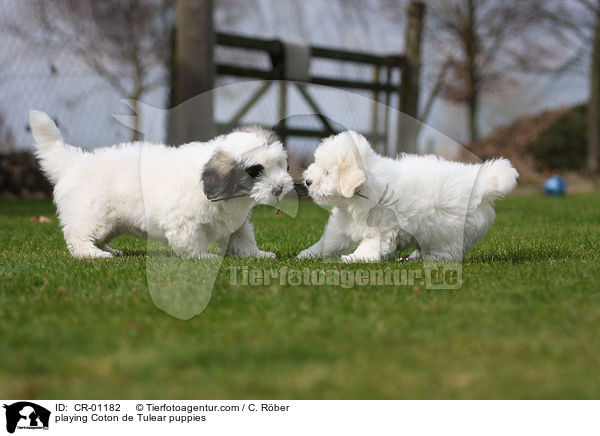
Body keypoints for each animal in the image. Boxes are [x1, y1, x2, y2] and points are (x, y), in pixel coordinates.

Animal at [30, 110, 292, 258]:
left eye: (283, 166)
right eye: (255, 172)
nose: (279, 189)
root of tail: (75, 162)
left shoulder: (237, 223)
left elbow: (244, 239)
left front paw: (258, 254)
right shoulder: (184, 223)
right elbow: (192, 243)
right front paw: (203, 257)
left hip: (111, 223)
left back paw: (108, 250)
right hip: (92, 216)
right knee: (78, 237)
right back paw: (93, 254)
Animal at [298, 130, 516, 262]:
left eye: (328, 172)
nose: (307, 181)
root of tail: (482, 184)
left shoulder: (383, 230)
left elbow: (369, 246)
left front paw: (353, 258)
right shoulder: (341, 227)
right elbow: (328, 242)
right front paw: (306, 254)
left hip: (448, 232)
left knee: (449, 253)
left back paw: (430, 260)